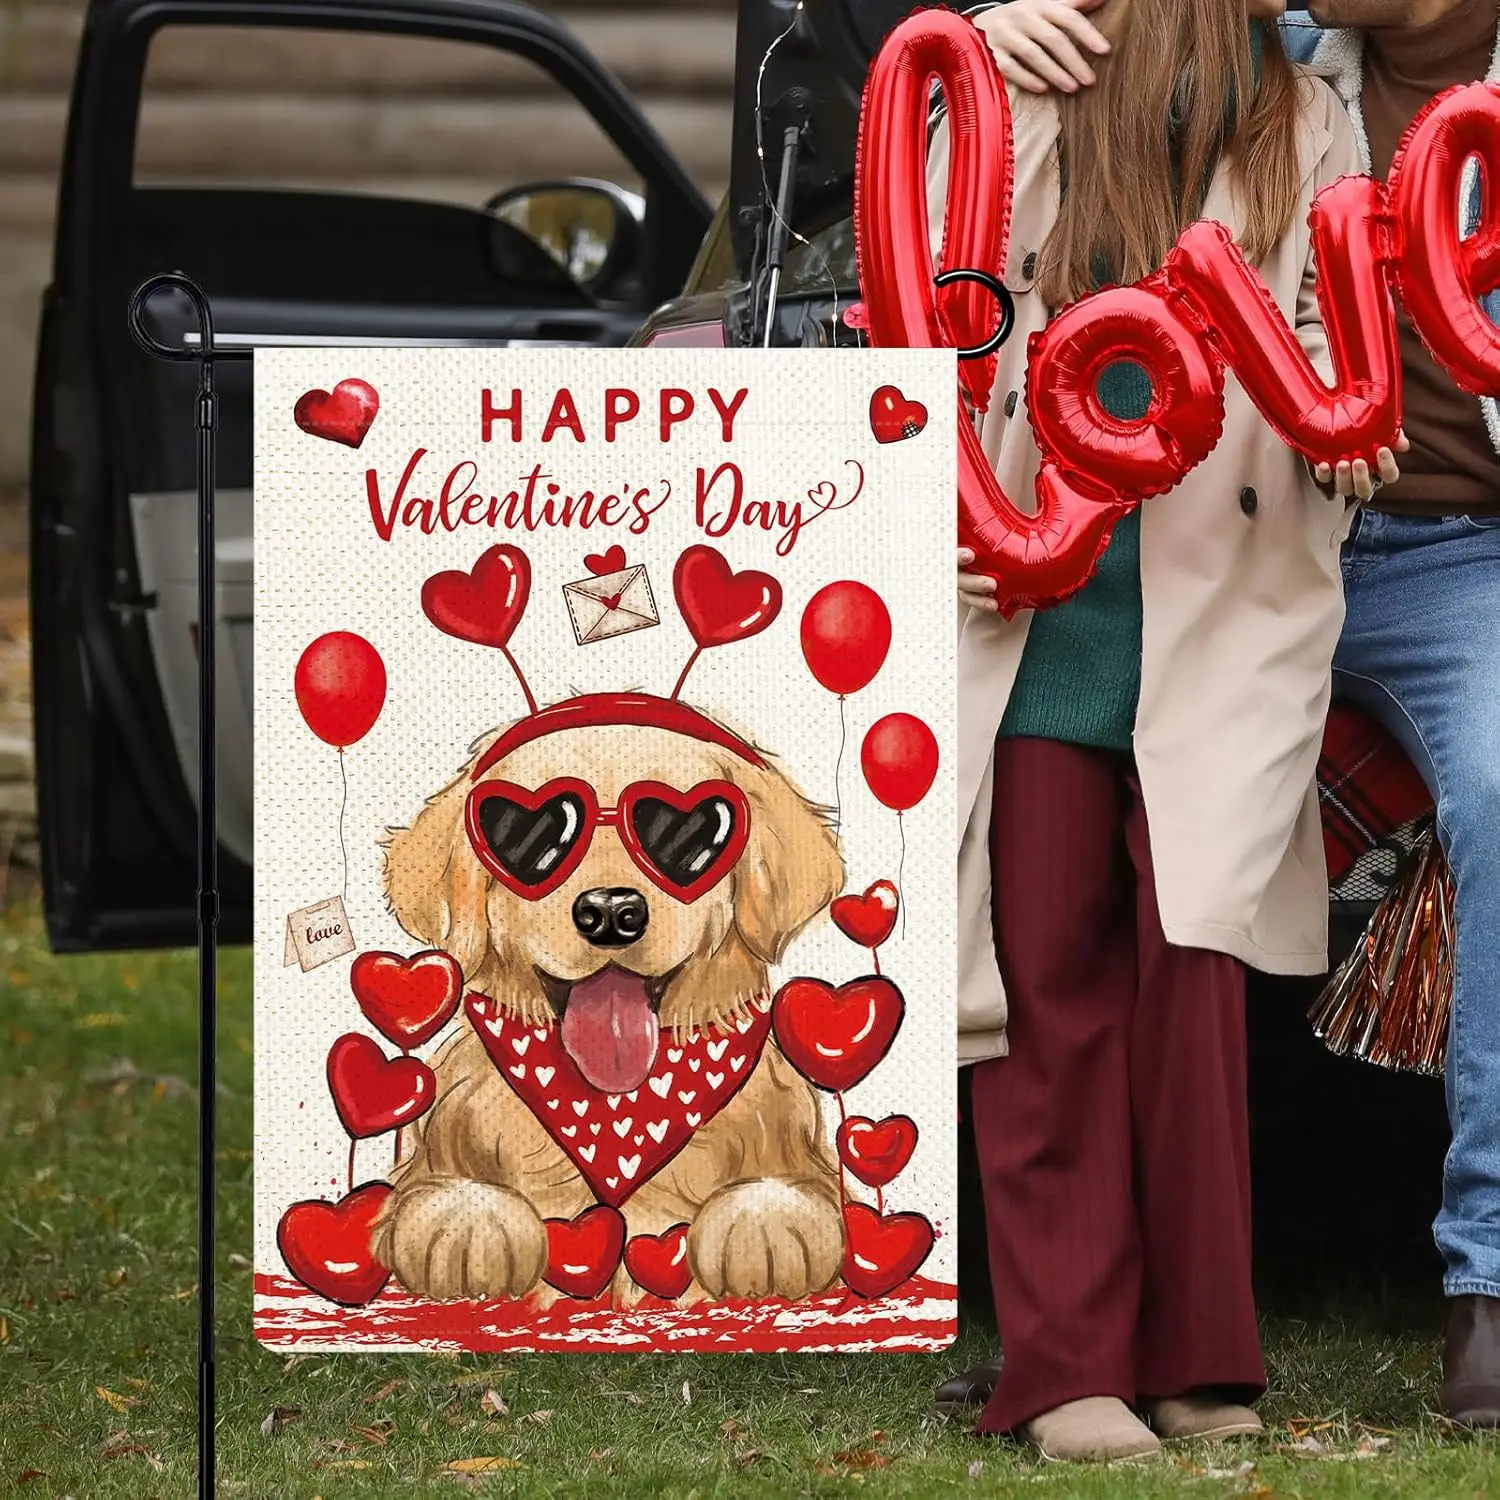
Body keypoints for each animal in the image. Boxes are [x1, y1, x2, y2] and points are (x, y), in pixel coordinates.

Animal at [370, 696, 852, 1308]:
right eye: (530, 834)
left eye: (686, 832)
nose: (609, 912)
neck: (615, 1106)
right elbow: (431, 1194)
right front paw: (468, 1221)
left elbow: (803, 1195)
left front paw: (764, 1222)